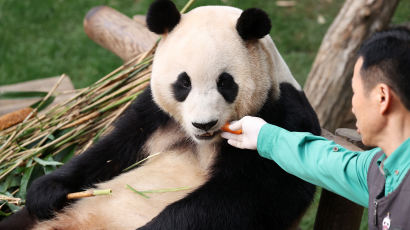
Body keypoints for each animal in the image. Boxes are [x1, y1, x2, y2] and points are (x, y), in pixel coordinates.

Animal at [0, 0, 320, 229]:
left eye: (225, 83)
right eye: (183, 83)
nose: (203, 124)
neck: (204, 142)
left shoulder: (283, 118)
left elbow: (236, 199)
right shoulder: (153, 114)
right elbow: (110, 150)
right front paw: (45, 190)